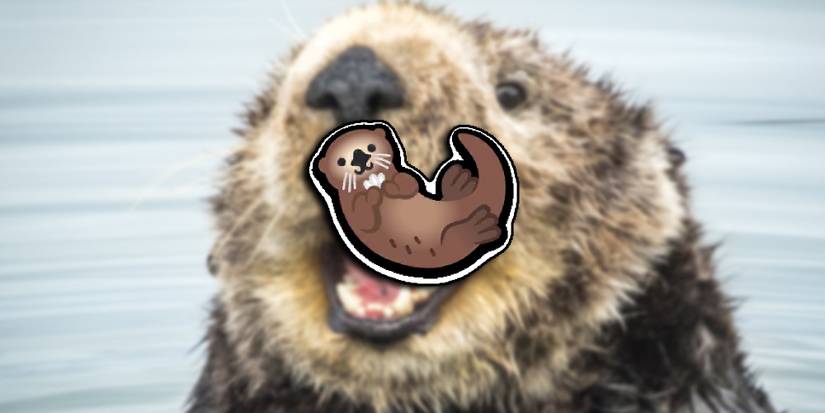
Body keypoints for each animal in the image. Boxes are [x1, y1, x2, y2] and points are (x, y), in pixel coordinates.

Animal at [309, 121, 517, 283]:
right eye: (341, 161)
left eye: (371, 147)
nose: (359, 156)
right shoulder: (350, 210)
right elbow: (363, 216)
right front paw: (371, 197)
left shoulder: (405, 179)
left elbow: (408, 183)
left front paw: (392, 187)